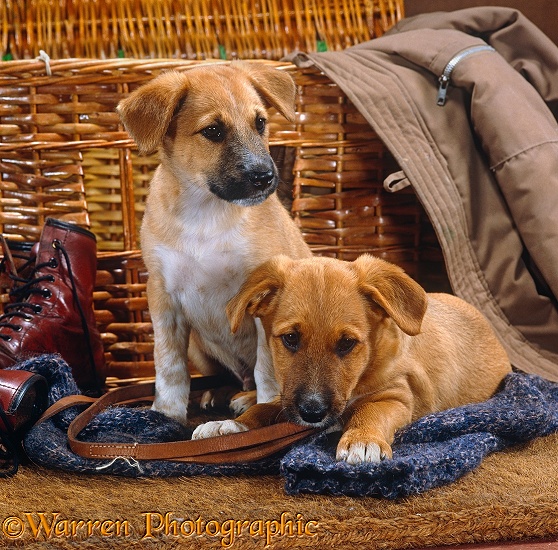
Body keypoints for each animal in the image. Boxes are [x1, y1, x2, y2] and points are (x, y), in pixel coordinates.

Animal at [116, 64, 312, 426]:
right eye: (213, 131)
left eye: (260, 123)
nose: (264, 177)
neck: (207, 213)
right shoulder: (163, 296)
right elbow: (169, 364)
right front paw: (166, 414)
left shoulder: (264, 302)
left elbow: (267, 368)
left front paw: (265, 409)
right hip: (197, 344)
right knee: (226, 375)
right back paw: (219, 394)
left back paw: (246, 399)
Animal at [195, 256, 516, 464]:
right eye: (290, 339)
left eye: (347, 343)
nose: (312, 413)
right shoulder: (290, 394)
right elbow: (265, 408)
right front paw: (229, 427)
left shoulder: (397, 397)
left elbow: (371, 411)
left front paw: (362, 440)